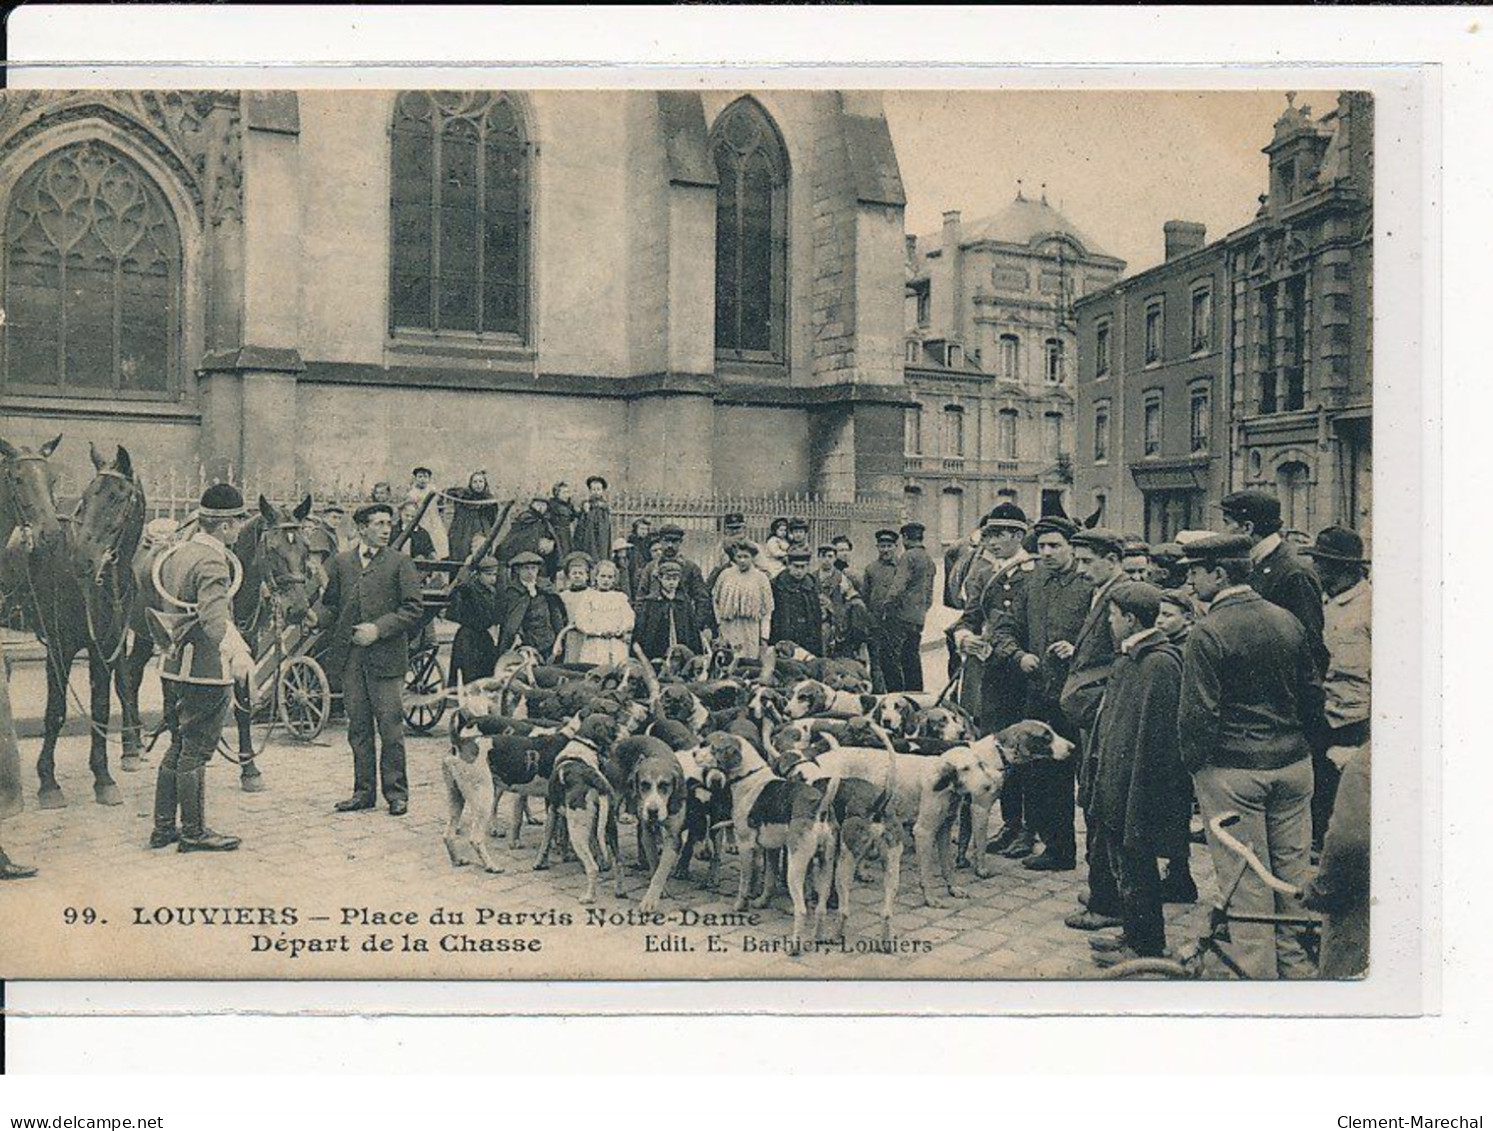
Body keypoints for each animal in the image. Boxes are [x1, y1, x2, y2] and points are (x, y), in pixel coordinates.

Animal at [0, 438, 144, 811]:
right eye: (87, 497)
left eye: (116, 497)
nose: (83, 558)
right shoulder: (60, 647)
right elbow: (56, 711)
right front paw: (48, 783)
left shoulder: (103, 646)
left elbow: (101, 707)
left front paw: (104, 778)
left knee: (126, 680)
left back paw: (132, 749)